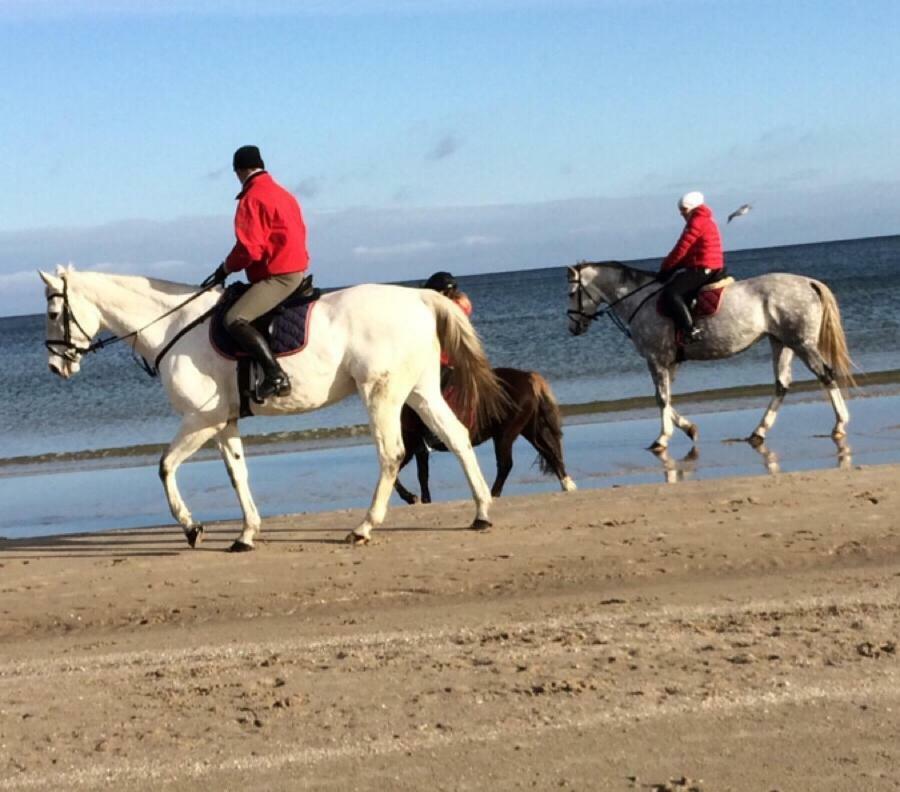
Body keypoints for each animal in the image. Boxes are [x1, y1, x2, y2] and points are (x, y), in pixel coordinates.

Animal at [40, 266, 506, 552]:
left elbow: (165, 466)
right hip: (421, 390)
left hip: (382, 394)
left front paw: (191, 528)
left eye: (53, 310)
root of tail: (418, 299)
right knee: (457, 437)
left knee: (392, 455)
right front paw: (246, 534)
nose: (55, 366)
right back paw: (481, 512)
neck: (174, 326)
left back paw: (364, 527)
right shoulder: (224, 421)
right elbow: (237, 474)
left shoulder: (201, 419)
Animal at [394, 368, 576, 504]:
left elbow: (411, 475)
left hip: (505, 434)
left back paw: (493, 494)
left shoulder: (412, 445)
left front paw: (413, 498)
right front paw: (421, 499)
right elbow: (418, 475)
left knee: (506, 464)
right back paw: (567, 485)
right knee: (549, 453)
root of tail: (528, 377)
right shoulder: (415, 446)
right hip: (529, 430)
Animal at [568, 262, 856, 452]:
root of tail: (808, 282)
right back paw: (758, 432)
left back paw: (840, 424)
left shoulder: (656, 359)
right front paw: (689, 428)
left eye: (572, 293)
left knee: (825, 375)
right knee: (782, 385)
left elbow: (661, 399)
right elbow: (665, 398)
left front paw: (662, 438)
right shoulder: (669, 363)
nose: (573, 327)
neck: (641, 299)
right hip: (782, 343)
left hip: (801, 343)